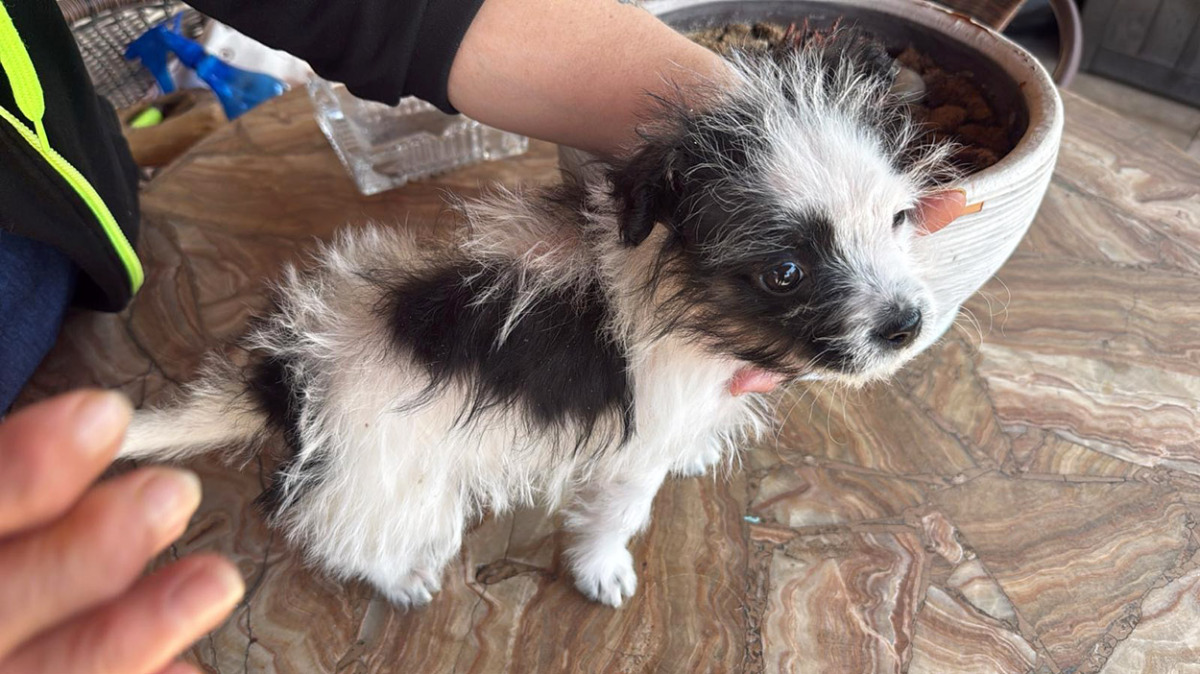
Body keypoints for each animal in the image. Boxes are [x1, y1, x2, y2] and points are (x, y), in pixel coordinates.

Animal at [119, 36, 955, 608]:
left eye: (899, 219)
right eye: (785, 273)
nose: (906, 325)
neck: (687, 303)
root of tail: (289, 372)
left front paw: (694, 450)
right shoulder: (630, 450)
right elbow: (618, 513)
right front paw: (601, 570)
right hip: (391, 472)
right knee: (343, 534)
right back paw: (403, 575)